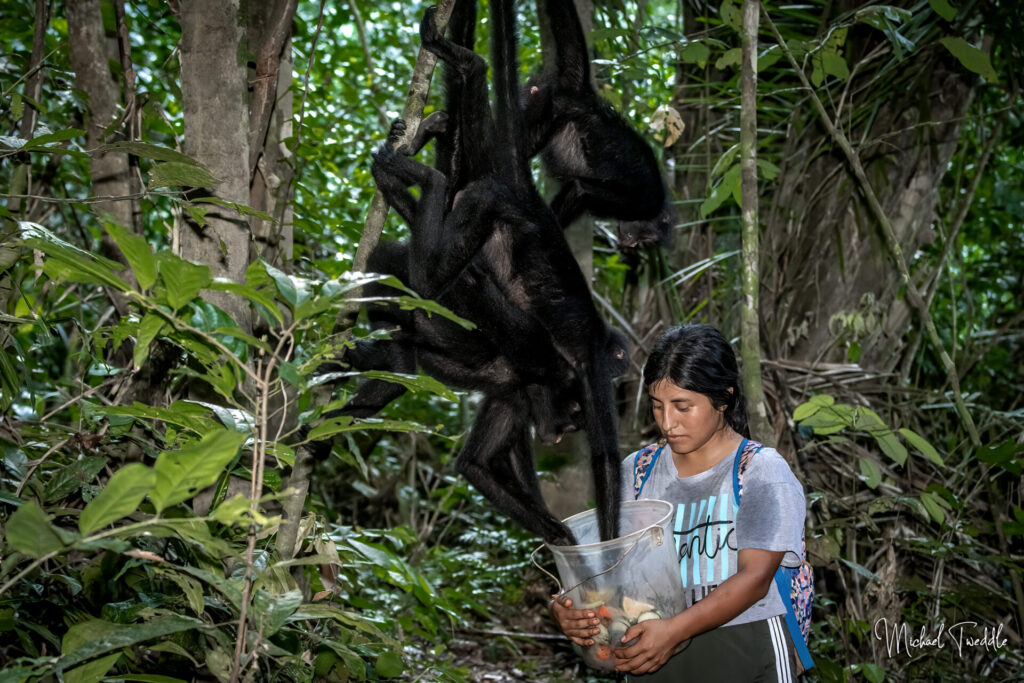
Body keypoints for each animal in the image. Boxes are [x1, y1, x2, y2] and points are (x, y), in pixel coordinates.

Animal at [520, 0, 679, 248]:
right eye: (647, 236)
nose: (632, 244)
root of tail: (584, 96)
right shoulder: (637, 202)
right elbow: (580, 189)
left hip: (537, 95)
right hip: (555, 109)